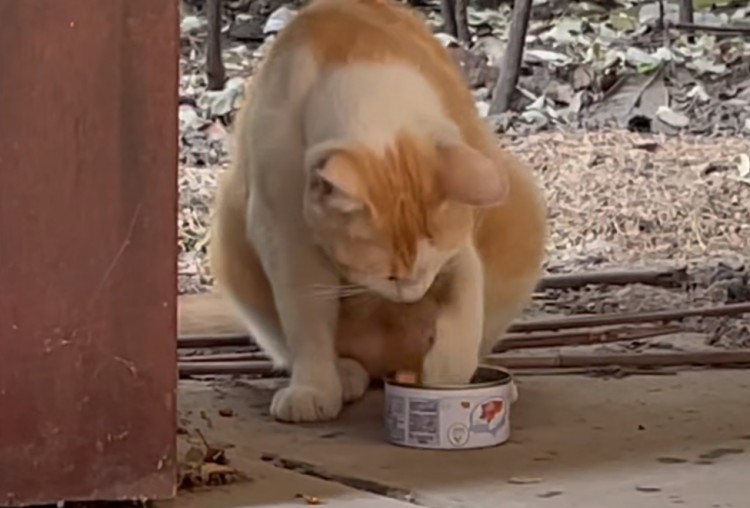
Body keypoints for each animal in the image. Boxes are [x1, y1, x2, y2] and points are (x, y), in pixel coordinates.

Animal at [209, 0, 548, 422]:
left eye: (428, 266)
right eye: (387, 275)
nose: (413, 293)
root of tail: (389, 365)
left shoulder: (460, 250)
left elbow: (464, 313)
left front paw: (449, 380)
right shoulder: (287, 242)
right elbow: (307, 325)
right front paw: (313, 388)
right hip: (229, 237)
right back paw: (347, 373)